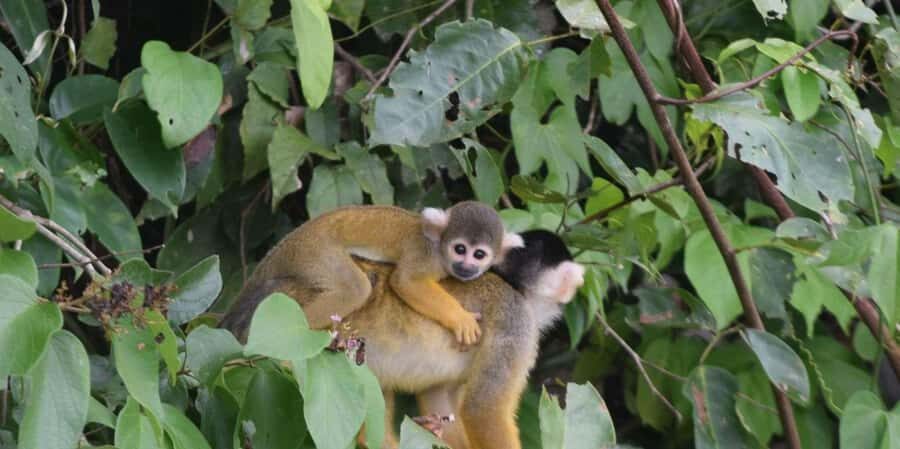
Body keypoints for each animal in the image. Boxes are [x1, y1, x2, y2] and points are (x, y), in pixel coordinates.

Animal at [222, 202, 523, 346]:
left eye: (479, 254)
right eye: (460, 249)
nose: (467, 266)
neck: (439, 247)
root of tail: (289, 243)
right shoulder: (425, 256)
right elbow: (406, 282)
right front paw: (460, 319)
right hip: (315, 252)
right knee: (355, 289)